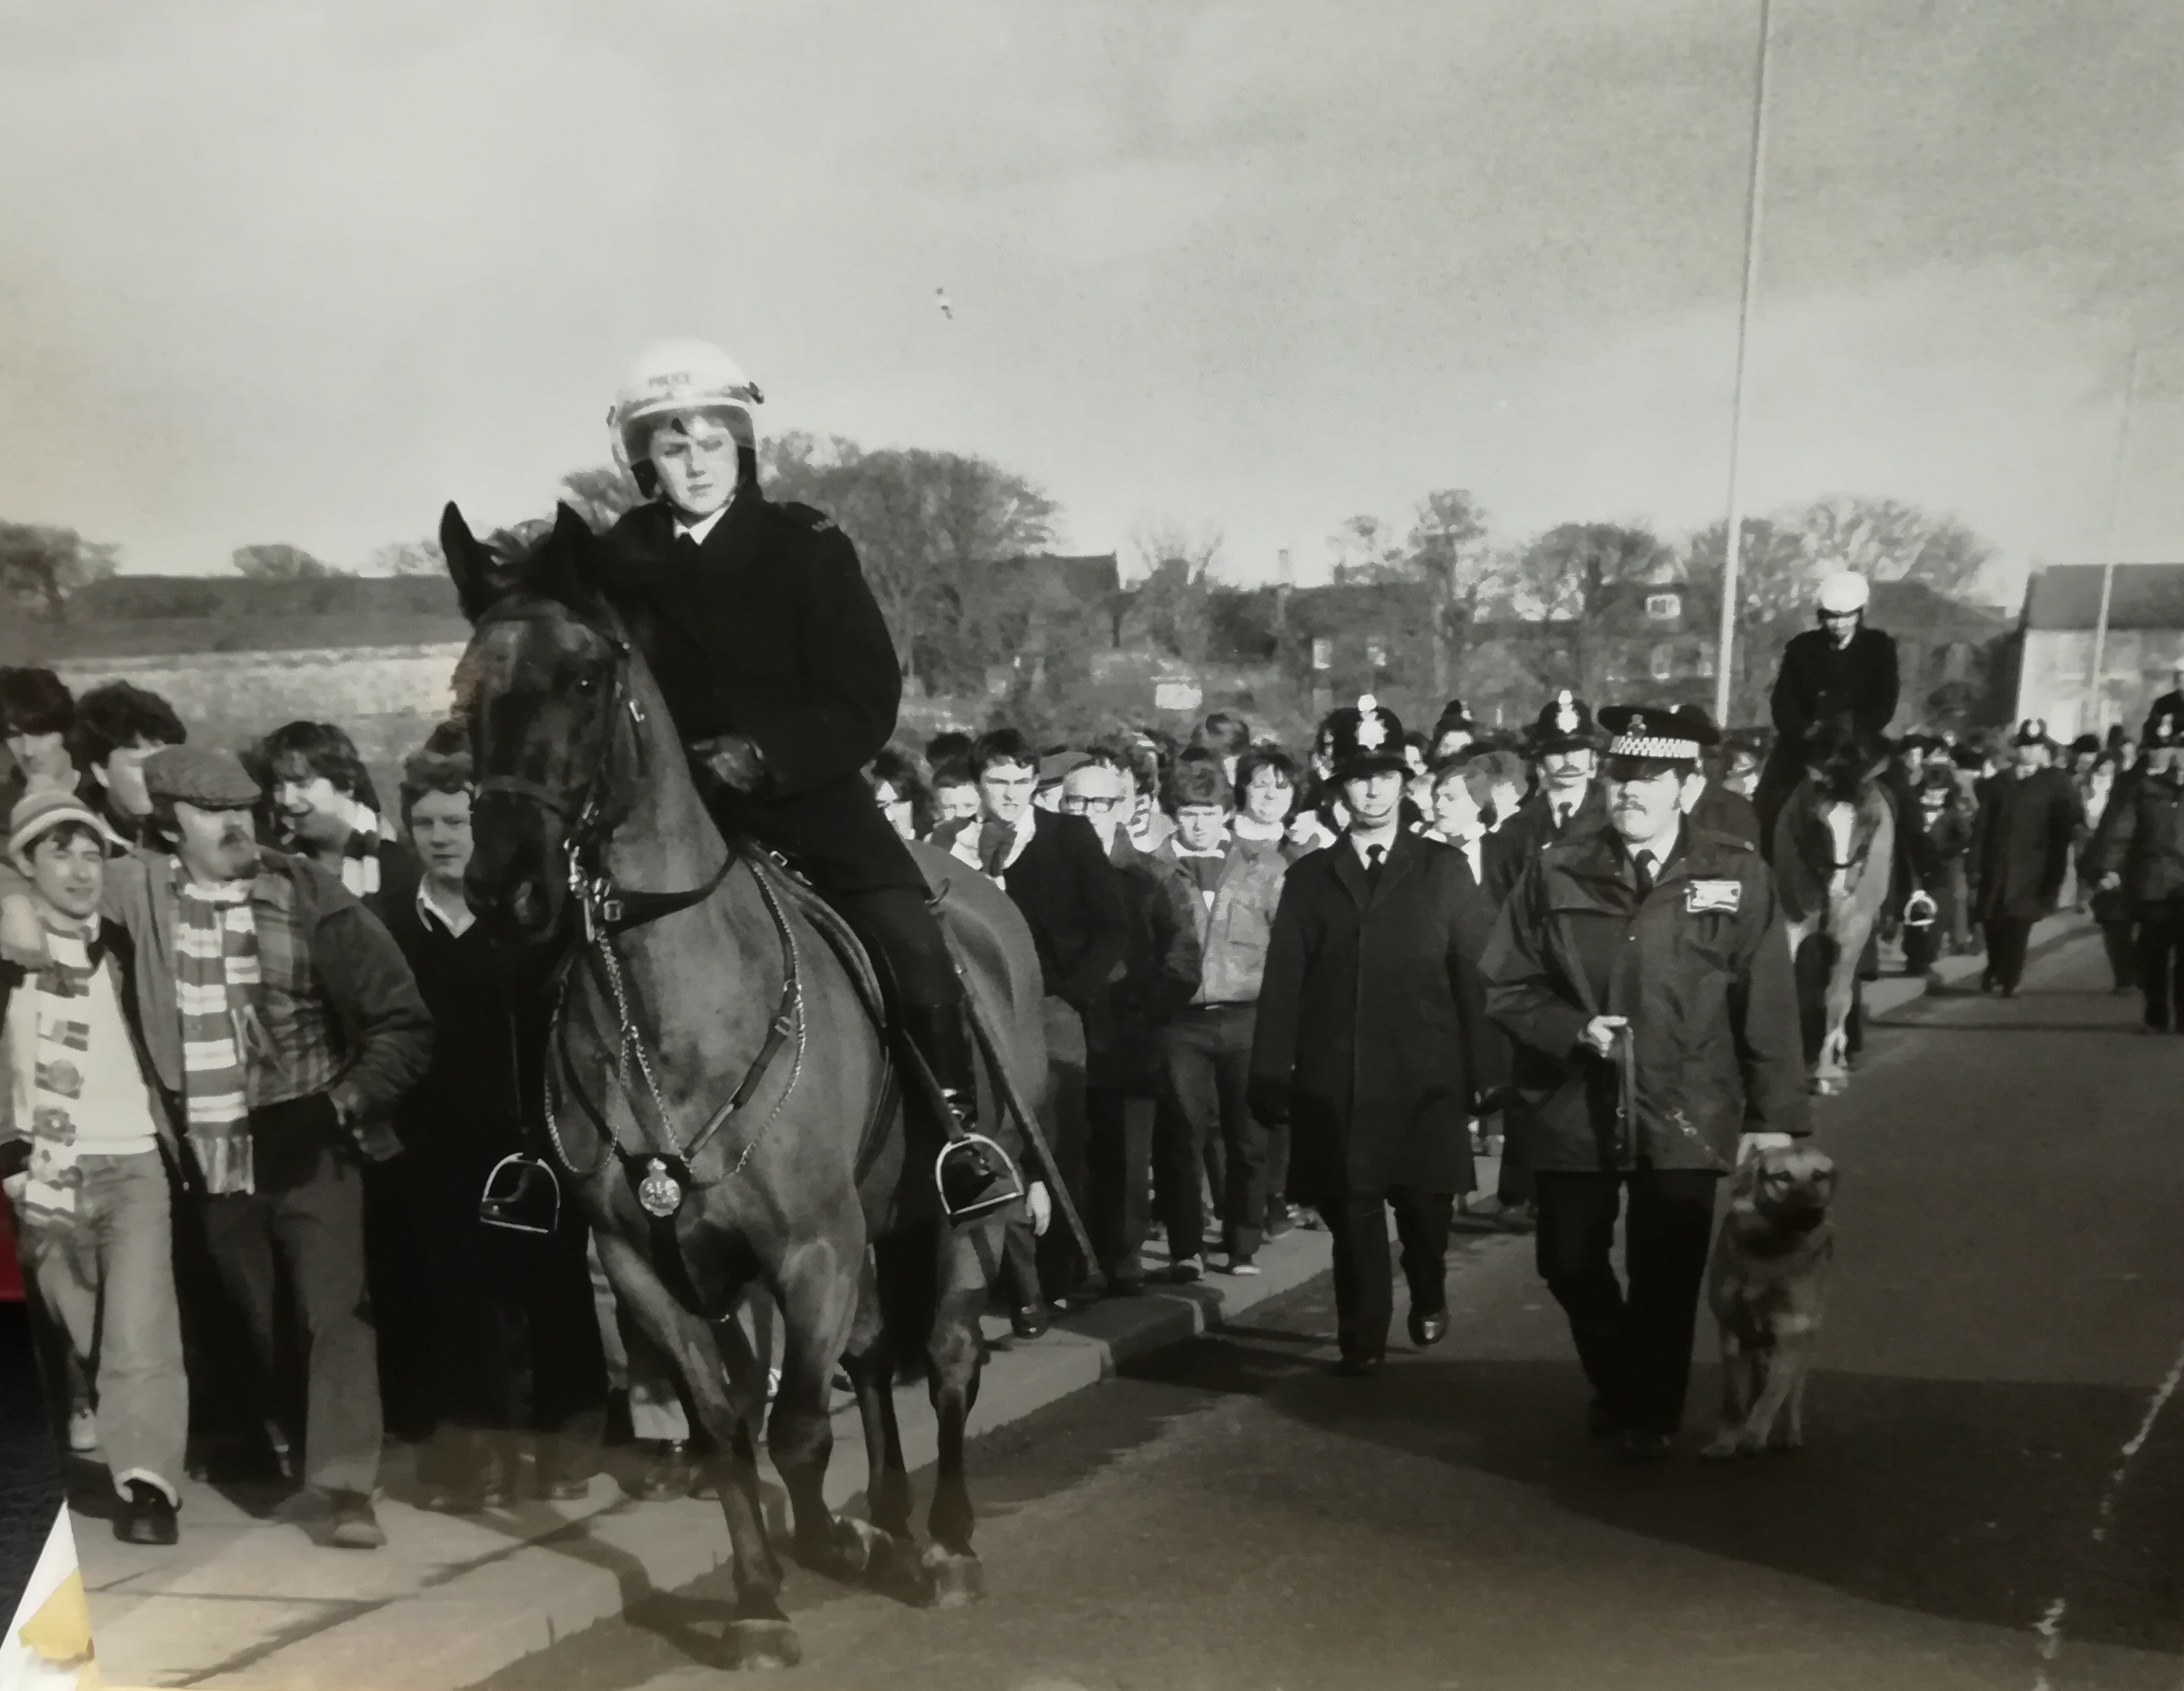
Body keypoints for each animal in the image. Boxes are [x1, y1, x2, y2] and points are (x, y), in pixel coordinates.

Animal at [439, 500, 1043, 1669]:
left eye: (585, 676)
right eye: (465, 690)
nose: (505, 886)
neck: (669, 1012)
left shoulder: (809, 1245)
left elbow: (799, 1427)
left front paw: (834, 1543)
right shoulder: (646, 1264)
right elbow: (727, 1427)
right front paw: (763, 1595)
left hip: (961, 1215)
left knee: (948, 1355)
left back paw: (946, 1541)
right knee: (874, 1358)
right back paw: (893, 1520)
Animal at [1695, 1153, 1834, 1459]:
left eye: (1819, 1176)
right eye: (1783, 1176)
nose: (1813, 1213)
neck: (1769, 1250)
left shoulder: (1791, 1335)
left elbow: (1771, 1398)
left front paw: (1754, 1435)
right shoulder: (1733, 1336)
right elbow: (1735, 1400)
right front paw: (1726, 1442)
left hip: (1802, 1350)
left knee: (1791, 1396)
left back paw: (1789, 1435)